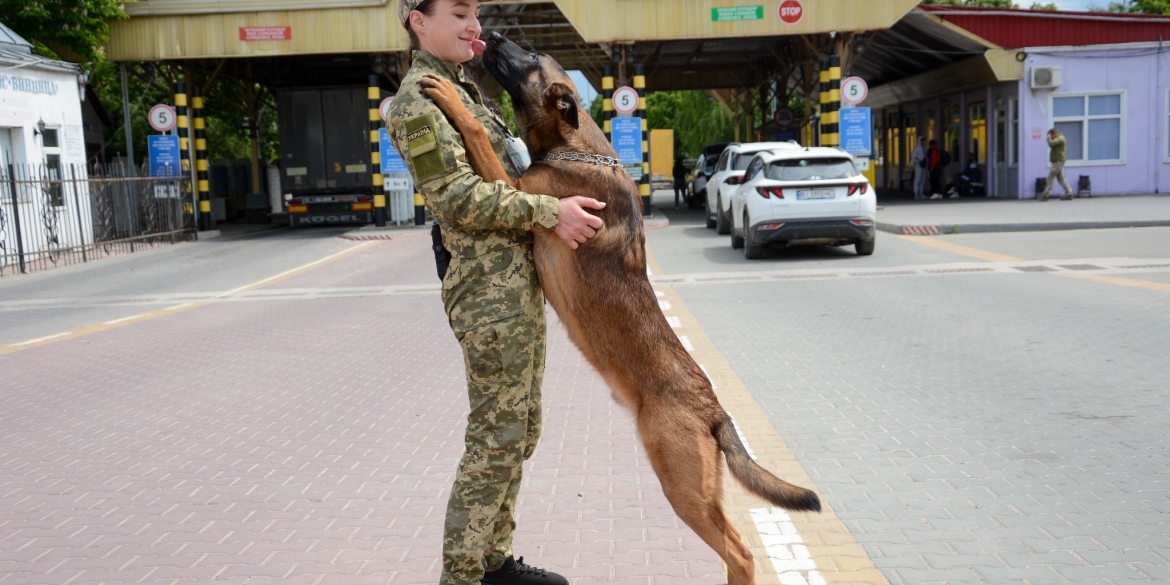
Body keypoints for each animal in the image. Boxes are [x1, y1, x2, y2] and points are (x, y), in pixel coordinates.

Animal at [423, 33, 823, 585]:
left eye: (532, 58)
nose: (495, 34)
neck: (579, 148)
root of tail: (714, 409)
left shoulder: (515, 188)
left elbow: (479, 135)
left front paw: (450, 97)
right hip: (699, 489)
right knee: (734, 550)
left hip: (680, 485)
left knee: (740, 551)